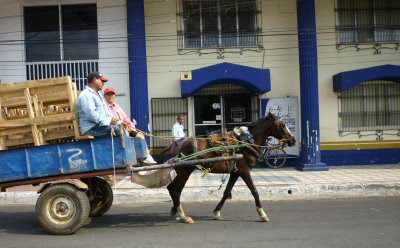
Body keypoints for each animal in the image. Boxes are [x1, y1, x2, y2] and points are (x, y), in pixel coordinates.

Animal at [164, 111, 296, 224]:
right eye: (282, 125)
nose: (293, 140)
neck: (247, 142)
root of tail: (175, 144)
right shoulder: (244, 171)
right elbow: (254, 191)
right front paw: (262, 214)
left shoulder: (235, 172)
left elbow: (227, 192)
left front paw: (217, 212)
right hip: (184, 171)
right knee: (175, 190)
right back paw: (183, 216)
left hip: (183, 171)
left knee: (173, 189)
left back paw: (176, 210)